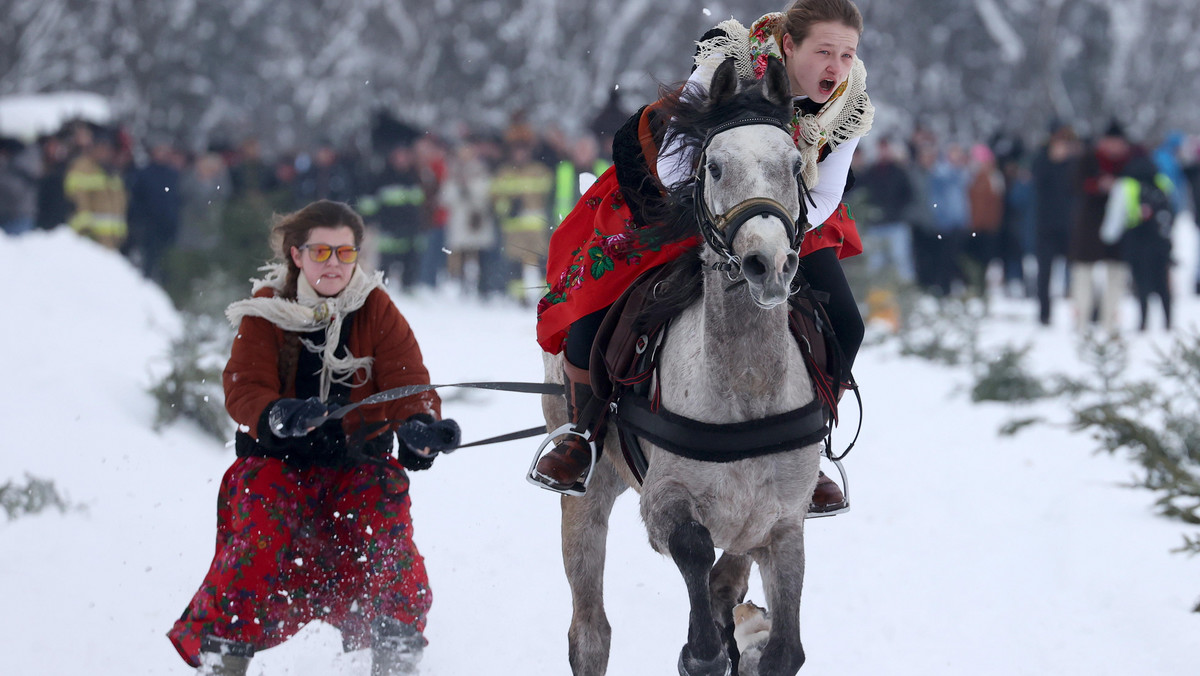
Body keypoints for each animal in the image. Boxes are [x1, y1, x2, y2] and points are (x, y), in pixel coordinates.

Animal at [544, 56, 825, 676]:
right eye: (714, 166)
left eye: (795, 164)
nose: (768, 263)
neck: (746, 387)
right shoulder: (666, 501)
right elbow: (695, 556)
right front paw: (701, 650)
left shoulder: (782, 522)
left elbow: (784, 646)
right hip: (587, 494)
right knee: (589, 631)